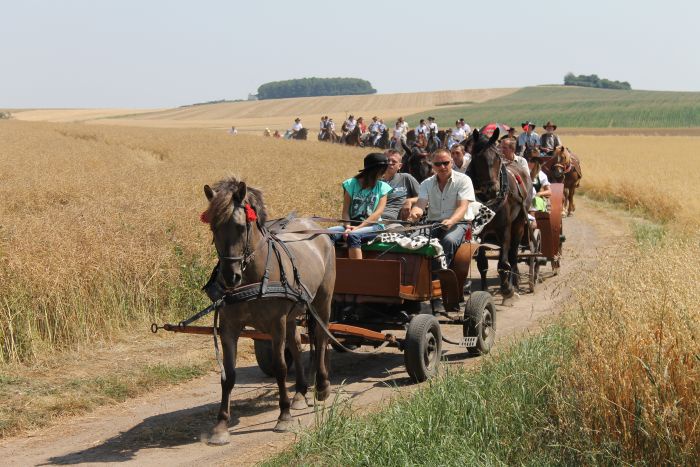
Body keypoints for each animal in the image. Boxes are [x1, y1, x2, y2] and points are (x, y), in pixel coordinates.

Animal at [202, 179, 336, 446]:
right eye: (213, 226)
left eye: (241, 227)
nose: (229, 277)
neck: (253, 276)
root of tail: (316, 227)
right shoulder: (229, 328)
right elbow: (228, 375)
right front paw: (221, 426)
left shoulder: (276, 323)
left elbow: (280, 367)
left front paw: (283, 417)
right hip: (293, 314)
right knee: (296, 343)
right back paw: (300, 393)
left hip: (322, 301)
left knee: (321, 338)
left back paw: (322, 386)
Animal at [468, 128, 532, 300]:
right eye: (477, 158)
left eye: (497, 157)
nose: (492, 189)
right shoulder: (480, 232)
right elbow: (482, 263)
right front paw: (484, 289)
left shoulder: (504, 228)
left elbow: (504, 261)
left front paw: (506, 288)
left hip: (519, 224)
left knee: (513, 254)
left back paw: (515, 283)